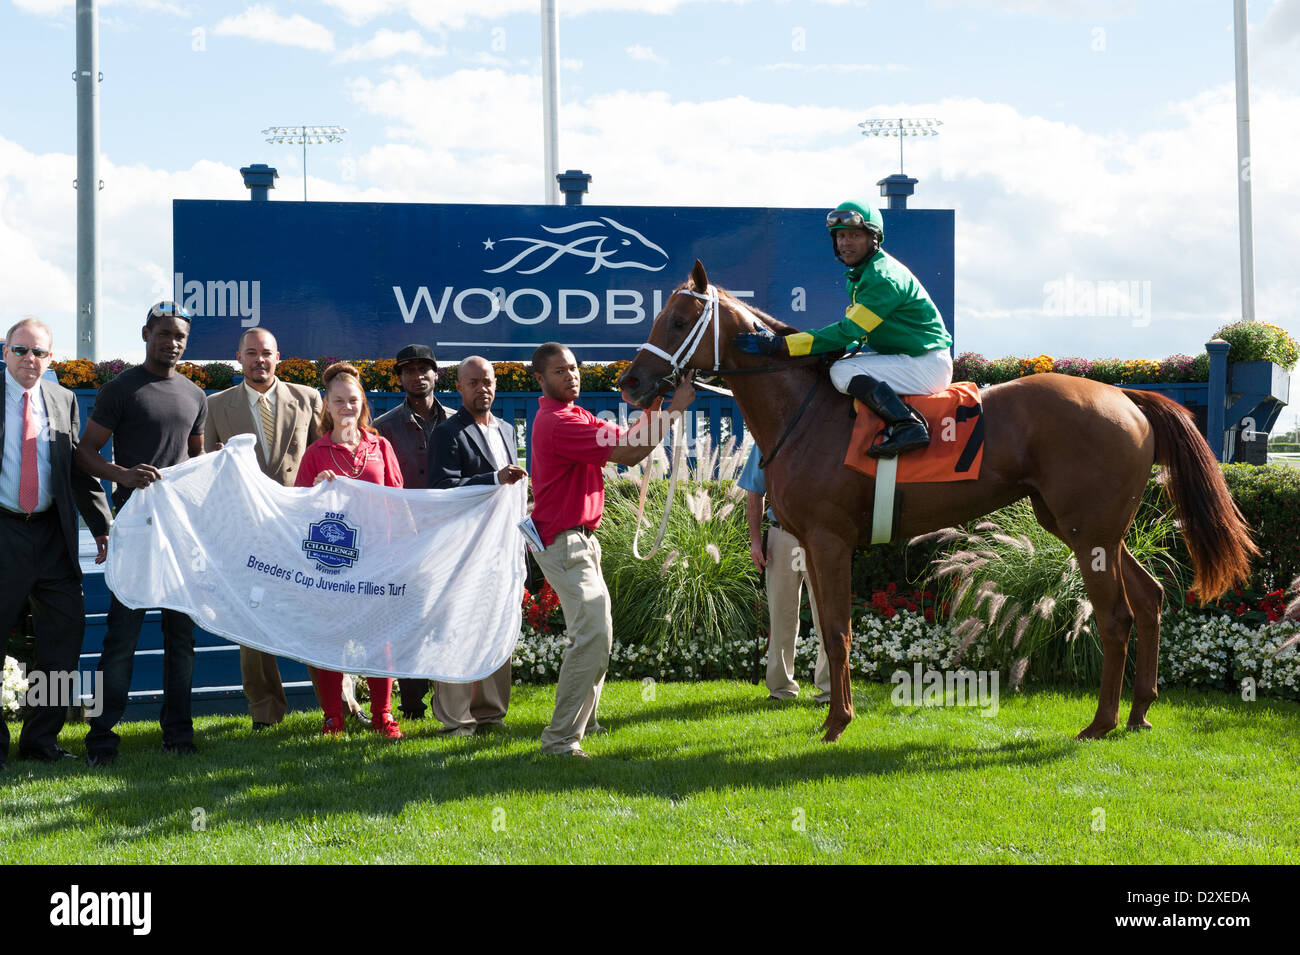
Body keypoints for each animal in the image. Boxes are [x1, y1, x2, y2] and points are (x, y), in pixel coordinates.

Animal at [621, 263, 1258, 748]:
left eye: (679, 319)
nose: (631, 383)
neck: (803, 411)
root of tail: (1124, 396)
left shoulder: (829, 540)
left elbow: (837, 632)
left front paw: (837, 723)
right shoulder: (810, 541)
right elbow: (826, 631)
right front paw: (832, 717)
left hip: (1091, 534)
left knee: (1115, 617)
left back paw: (1099, 723)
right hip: (1090, 528)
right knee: (1149, 599)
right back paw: (1139, 712)